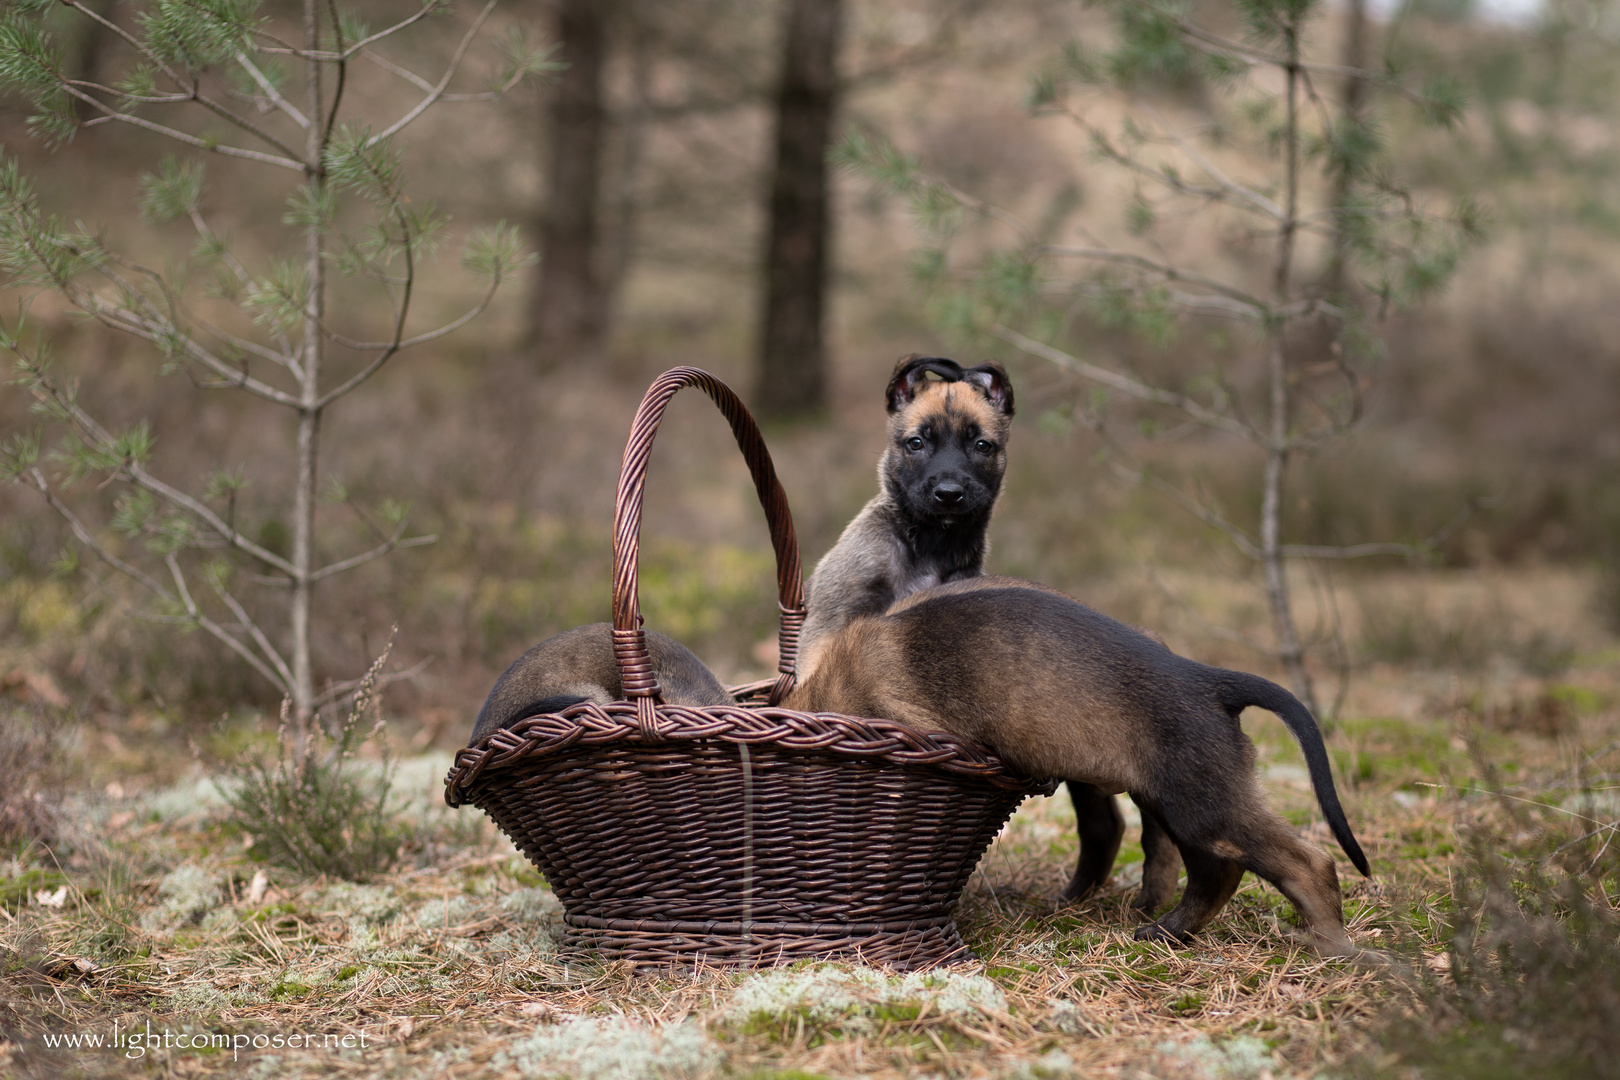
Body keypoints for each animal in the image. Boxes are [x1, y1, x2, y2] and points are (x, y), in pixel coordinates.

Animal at [797, 354, 1179, 913]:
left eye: (982, 446)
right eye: (916, 443)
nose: (949, 494)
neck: (931, 548)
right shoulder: (828, 629)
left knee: (1109, 820)